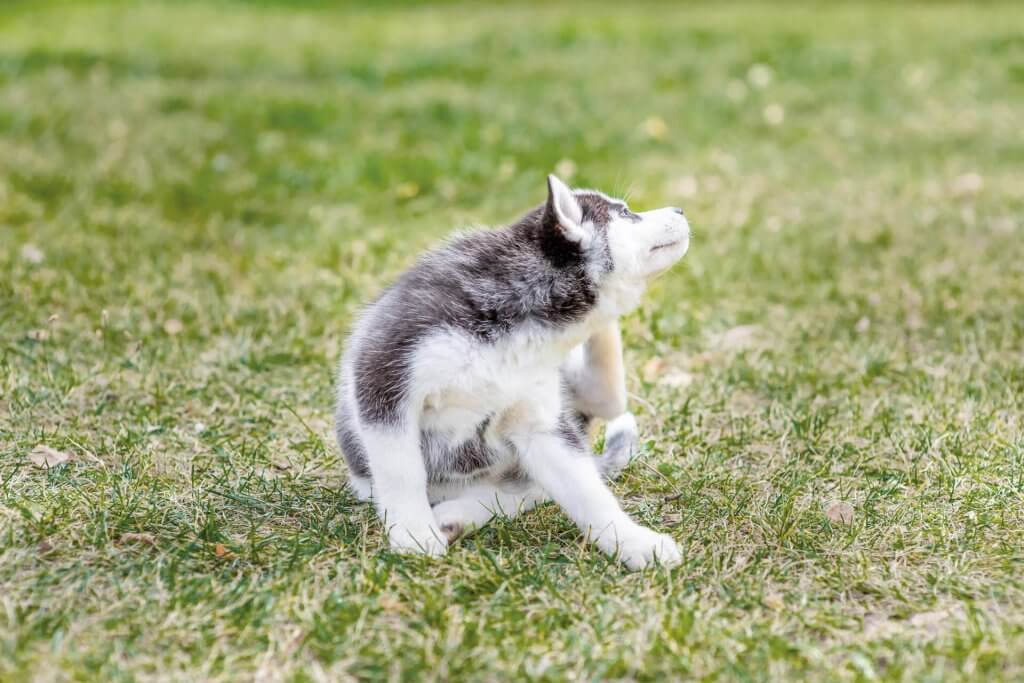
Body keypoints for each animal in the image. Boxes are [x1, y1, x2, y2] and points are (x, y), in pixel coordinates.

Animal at [335, 174, 688, 569]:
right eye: (626, 213)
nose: (680, 210)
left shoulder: (538, 422)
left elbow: (590, 494)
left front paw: (633, 542)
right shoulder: (384, 370)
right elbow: (401, 470)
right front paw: (413, 533)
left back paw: (457, 515)